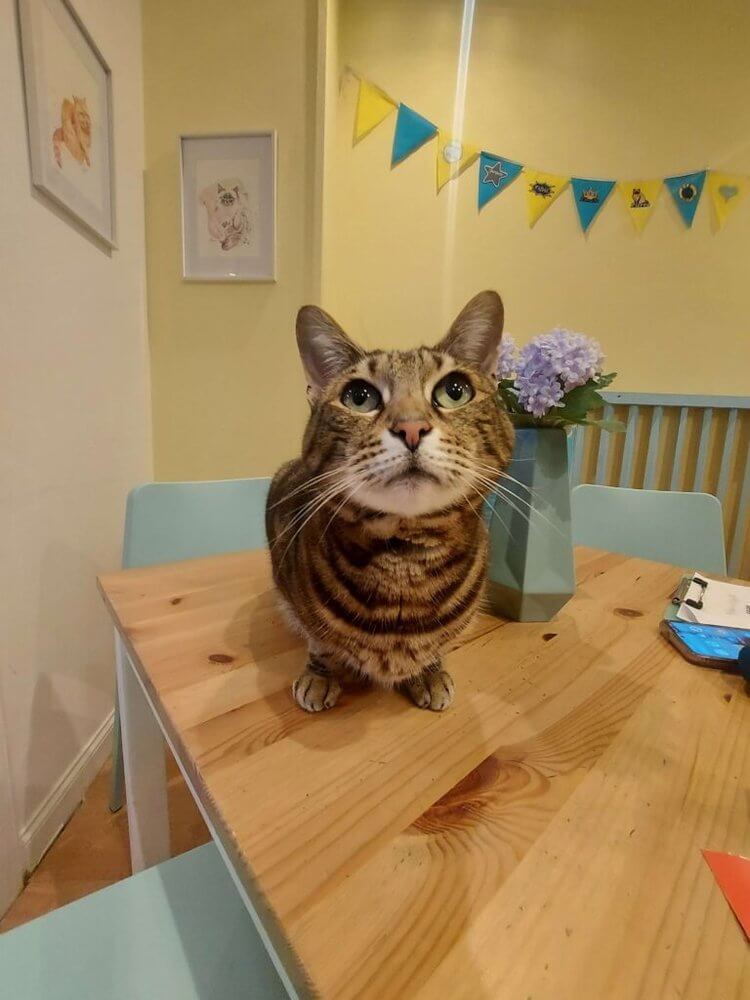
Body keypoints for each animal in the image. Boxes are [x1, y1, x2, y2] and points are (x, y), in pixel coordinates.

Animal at [266, 290, 516, 712]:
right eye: (359, 397)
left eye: (455, 391)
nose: (411, 427)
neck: (405, 562)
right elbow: (319, 639)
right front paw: (320, 674)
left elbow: (437, 646)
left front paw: (429, 671)